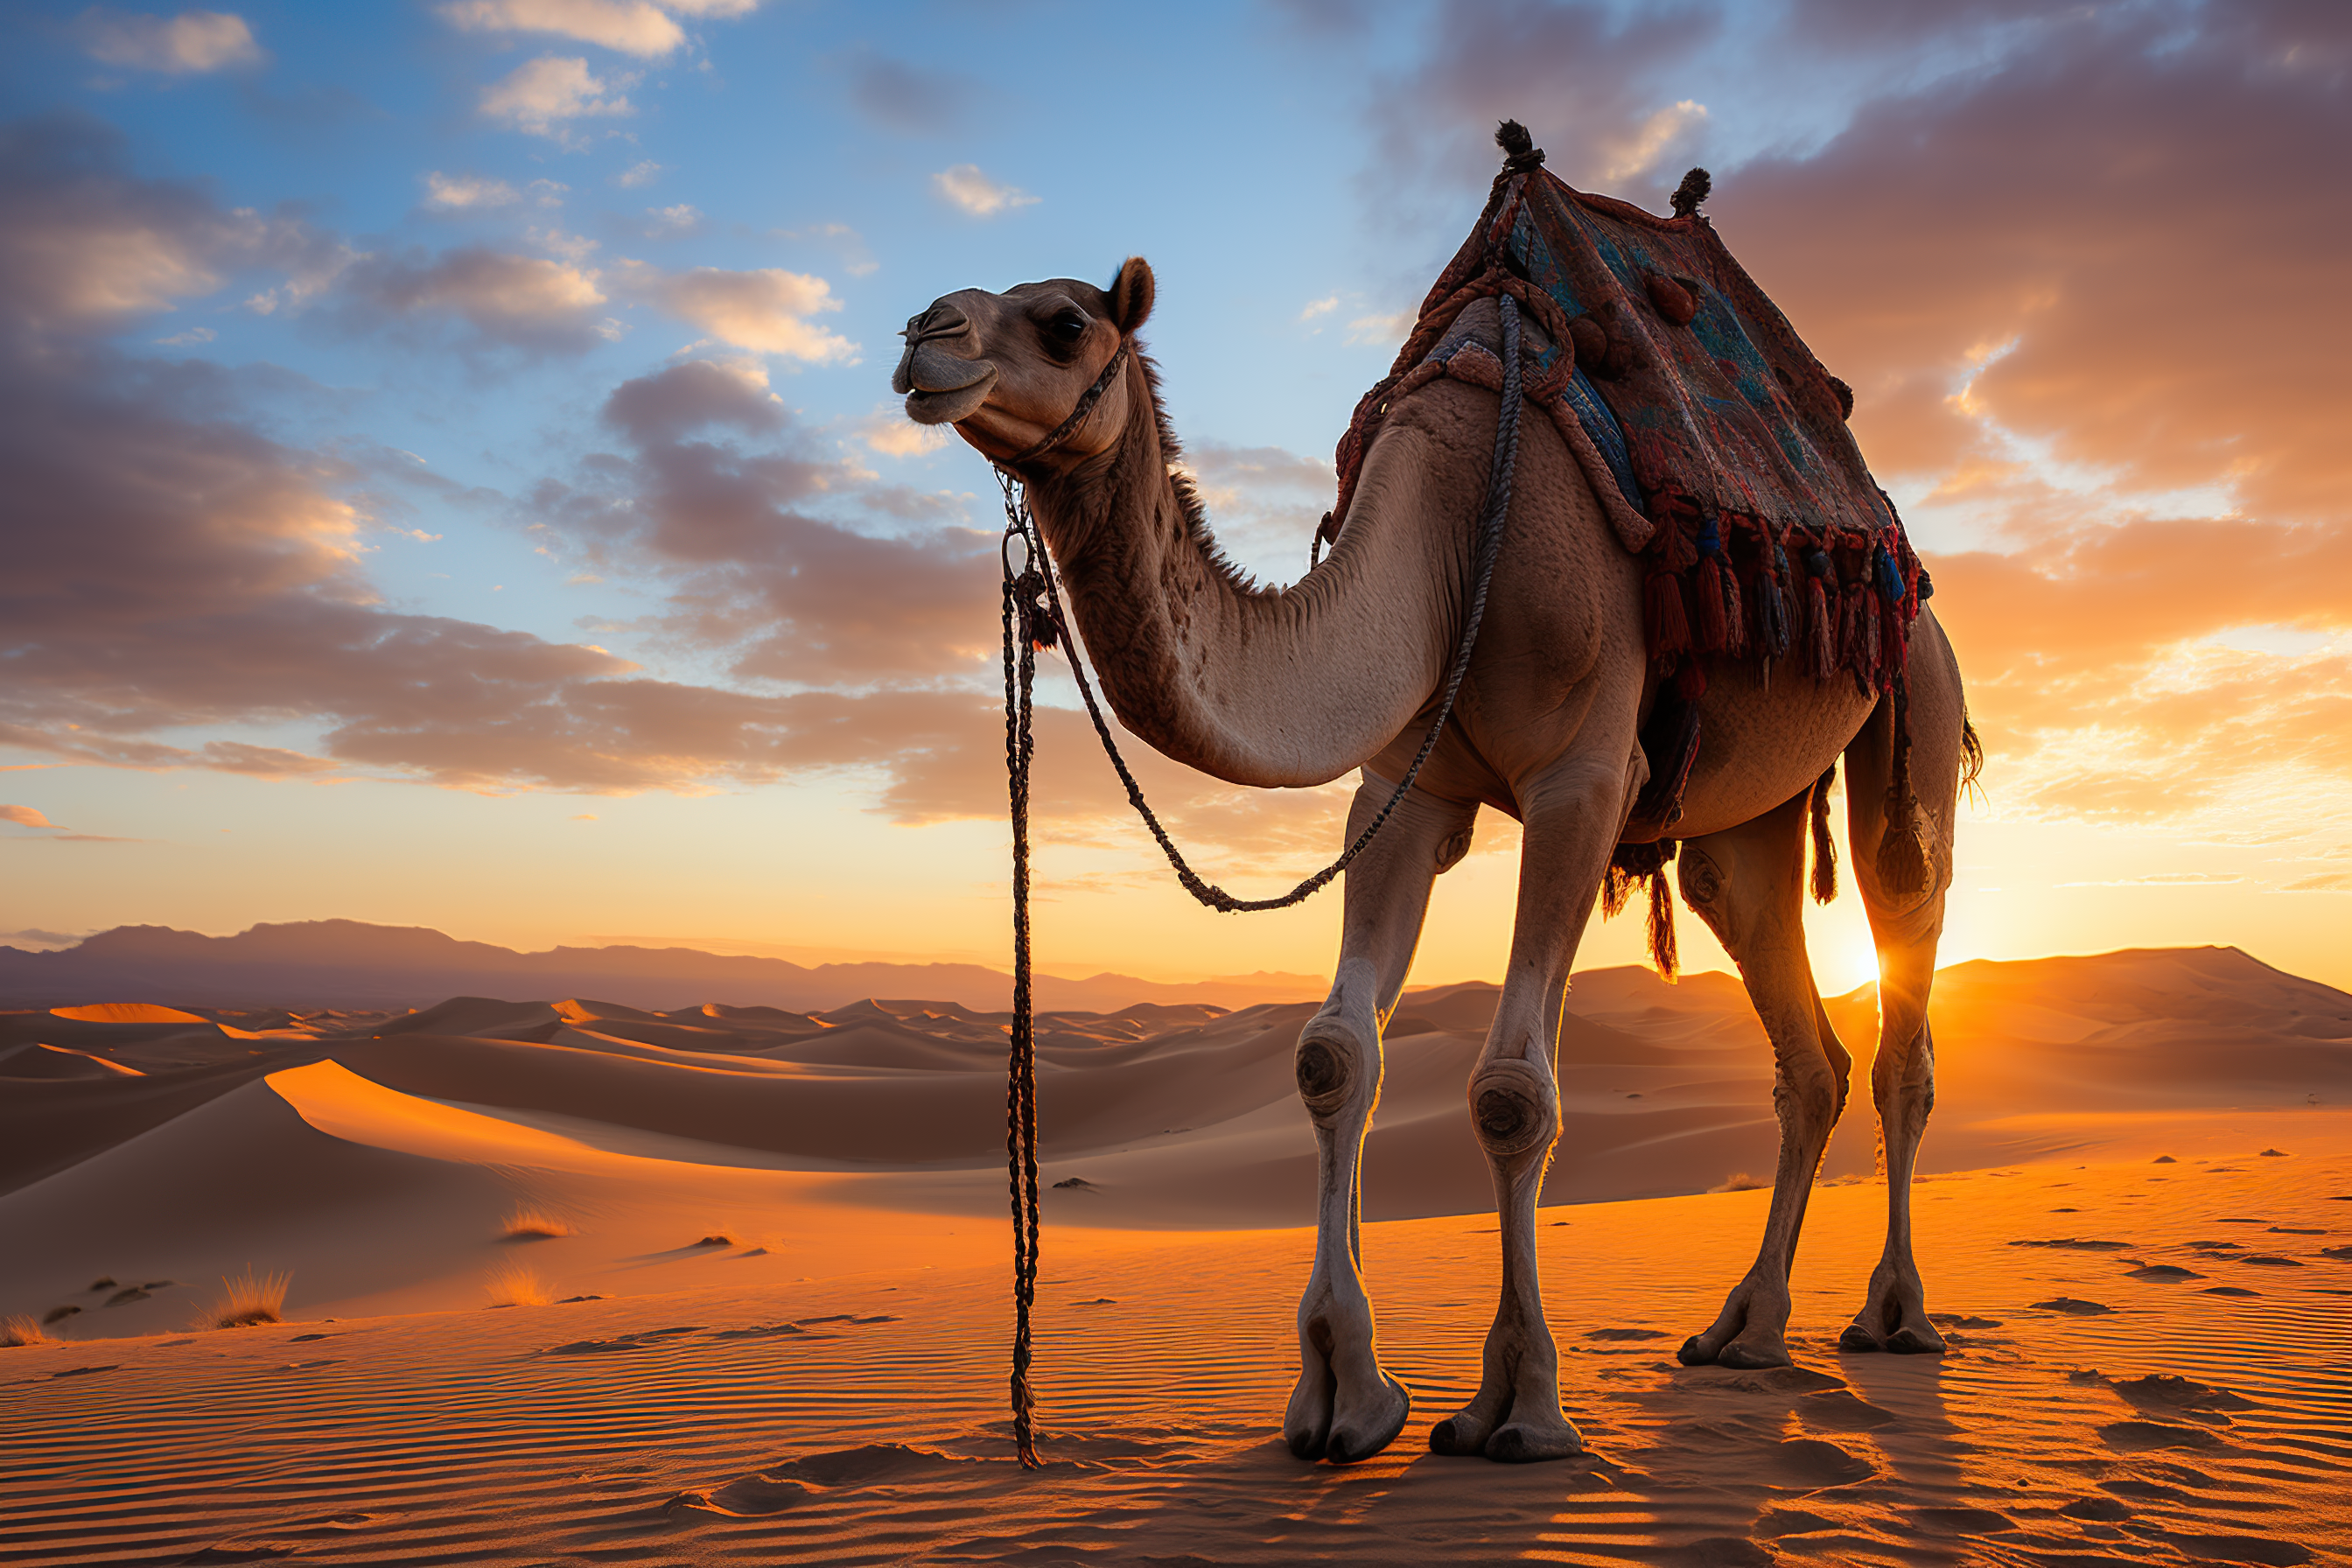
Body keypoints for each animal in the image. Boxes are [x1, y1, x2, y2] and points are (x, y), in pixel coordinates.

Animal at [889, 236, 1975, 1476]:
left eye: (1064, 324)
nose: (923, 335)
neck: (1456, 531)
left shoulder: (1582, 779)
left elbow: (1510, 1090)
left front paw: (1520, 1404)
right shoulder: (1405, 790)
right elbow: (1333, 1057)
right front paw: (1341, 1392)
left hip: (1915, 701)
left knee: (1901, 1001)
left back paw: (1894, 1313)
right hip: (1748, 814)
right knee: (1797, 1031)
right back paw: (1743, 1329)